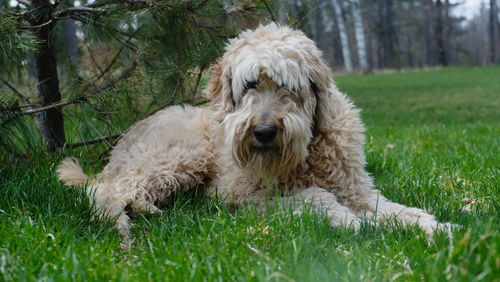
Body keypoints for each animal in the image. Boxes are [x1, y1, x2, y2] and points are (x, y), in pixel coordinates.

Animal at [57, 23, 454, 240]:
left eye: (287, 86)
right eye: (249, 84)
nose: (263, 131)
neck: (306, 154)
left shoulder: (355, 189)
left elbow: (394, 210)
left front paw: (434, 227)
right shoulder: (241, 197)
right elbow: (312, 197)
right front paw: (345, 219)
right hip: (180, 155)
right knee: (106, 191)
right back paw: (127, 221)